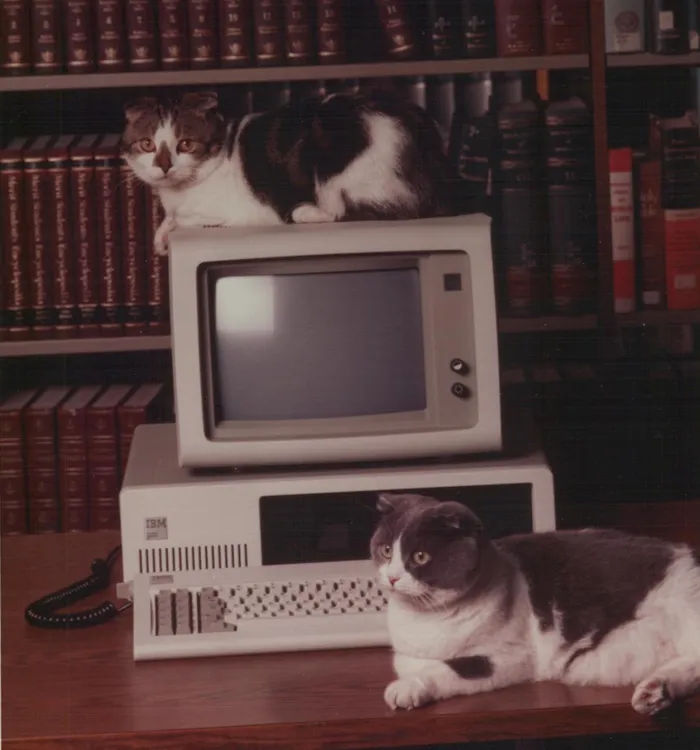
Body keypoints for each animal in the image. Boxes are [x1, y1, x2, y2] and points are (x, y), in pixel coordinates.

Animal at [120, 89, 454, 256]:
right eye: (147, 144)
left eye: (186, 144)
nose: (164, 165)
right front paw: (161, 235)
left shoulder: (245, 212)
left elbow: (187, 220)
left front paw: (171, 229)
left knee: (374, 208)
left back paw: (307, 213)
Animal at [374, 494, 700, 716]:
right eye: (386, 550)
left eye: (420, 557)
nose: (392, 577)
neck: (424, 620)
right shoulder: (404, 656)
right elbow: (411, 664)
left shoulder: (510, 657)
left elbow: (447, 670)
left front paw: (406, 689)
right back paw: (655, 693)